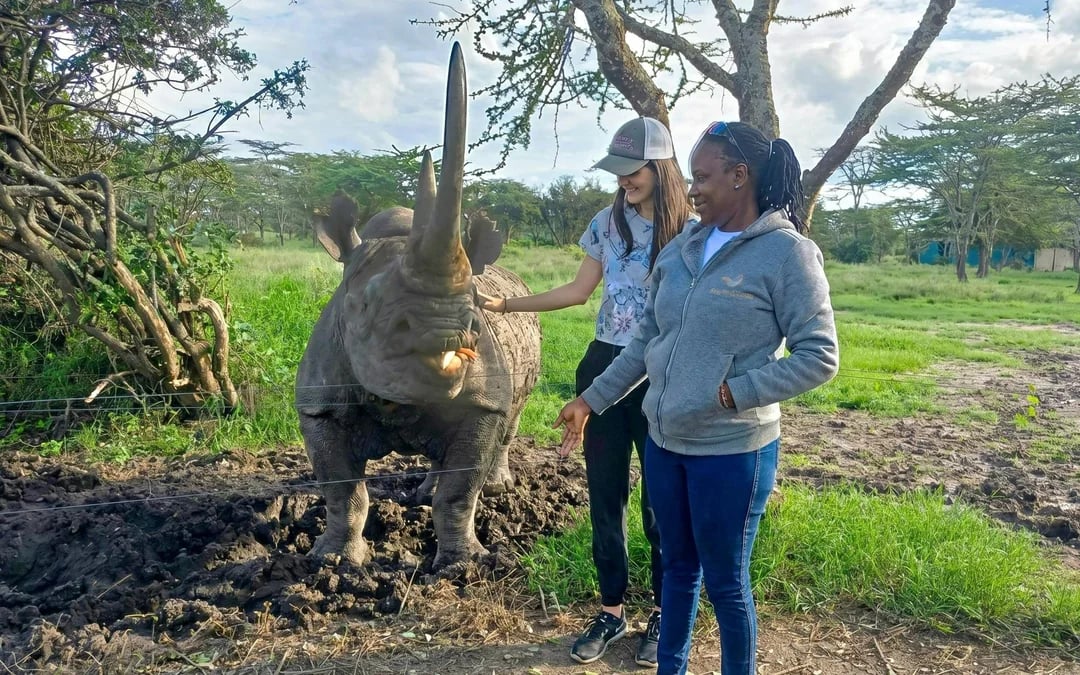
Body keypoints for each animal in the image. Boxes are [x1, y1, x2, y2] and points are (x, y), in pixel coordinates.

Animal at [295, 44, 541, 568]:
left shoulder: (482, 401)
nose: (444, 334)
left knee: (508, 422)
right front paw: (334, 562)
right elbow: (342, 491)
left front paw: (463, 565)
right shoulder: (319, 403)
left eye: (473, 311)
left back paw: (494, 488)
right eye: (362, 307)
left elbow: (460, 490)